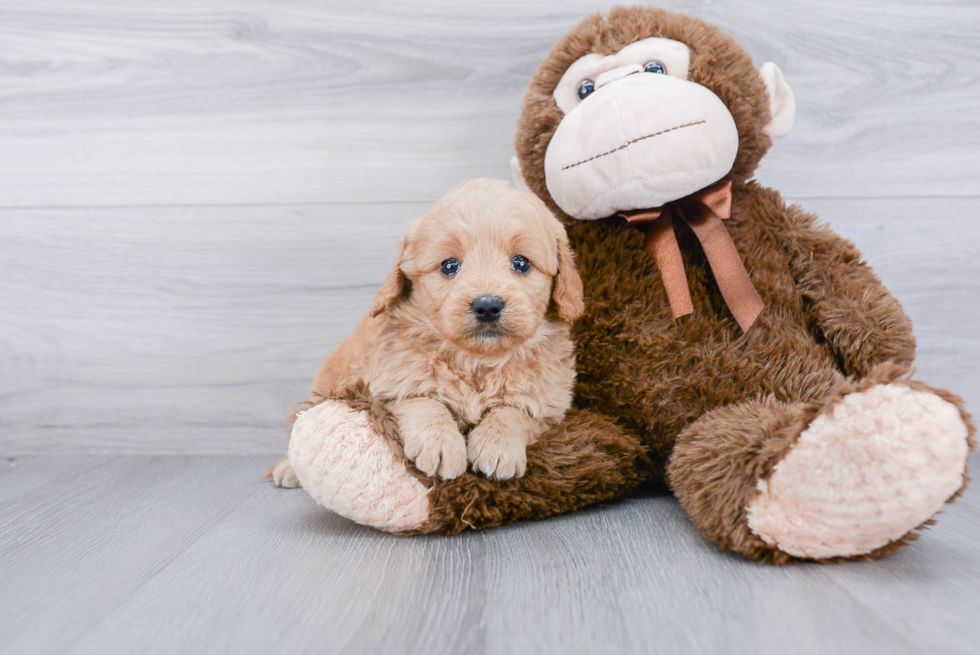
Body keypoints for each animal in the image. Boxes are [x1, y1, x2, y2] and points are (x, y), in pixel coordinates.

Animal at [266, 179, 580, 486]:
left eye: (521, 263)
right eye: (450, 266)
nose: (487, 306)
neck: (477, 361)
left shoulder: (547, 403)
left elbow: (514, 412)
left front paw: (498, 445)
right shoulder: (390, 385)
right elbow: (423, 402)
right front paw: (440, 444)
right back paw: (287, 469)